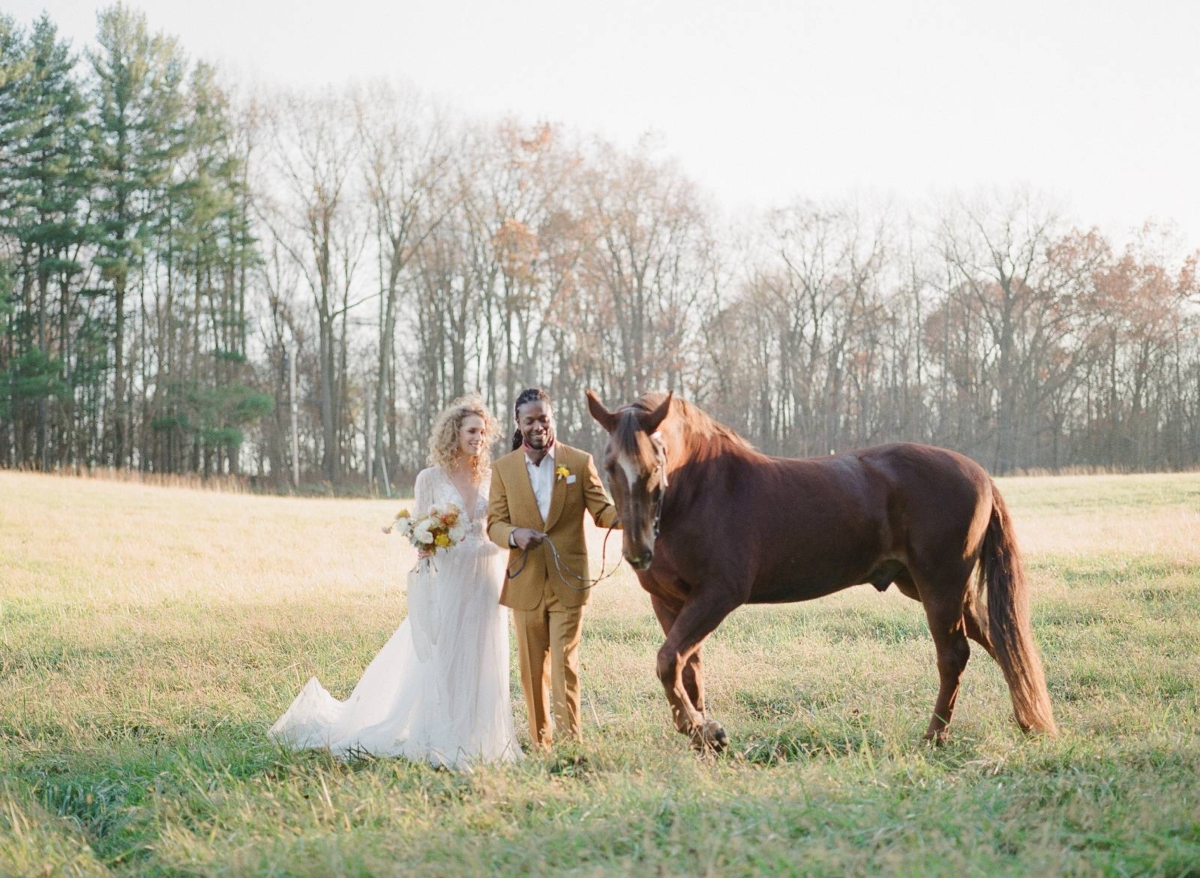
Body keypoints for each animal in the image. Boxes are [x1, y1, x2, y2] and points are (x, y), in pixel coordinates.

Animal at [585, 393, 1056, 753]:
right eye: (608, 465)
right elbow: (686, 669)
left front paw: (702, 730)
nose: (638, 552)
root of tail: (980, 473)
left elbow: (668, 661)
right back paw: (1029, 722)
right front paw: (704, 736)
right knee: (998, 640)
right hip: (932, 587)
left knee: (954, 655)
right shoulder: (668, 600)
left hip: (940, 585)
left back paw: (934, 737)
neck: (699, 489)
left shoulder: (718, 595)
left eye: (656, 462)